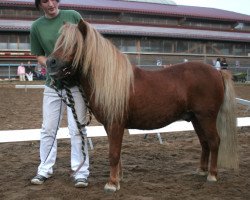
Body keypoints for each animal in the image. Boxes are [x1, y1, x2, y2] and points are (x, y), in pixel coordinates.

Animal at [46, 19, 238, 193]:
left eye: (73, 44)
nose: (50, 62)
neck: (110, 80)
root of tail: (217, 72)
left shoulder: (116, 124)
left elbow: (113, 154)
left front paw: (112, 184)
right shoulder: (110, 126)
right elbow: (117, 153)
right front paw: (118, 178)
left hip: (206, 117)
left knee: (214, 141)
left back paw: (212, 175)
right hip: (196, 119)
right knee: (204, 142)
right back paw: (201, 171)